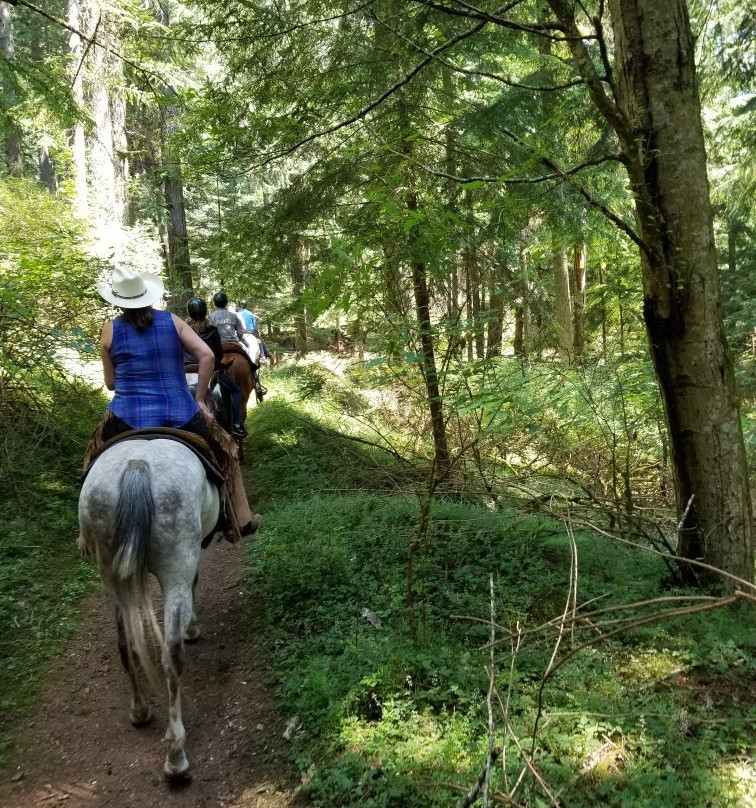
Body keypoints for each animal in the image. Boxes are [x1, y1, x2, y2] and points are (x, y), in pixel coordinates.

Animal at [79, 438, 221, 780]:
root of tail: (137, 466)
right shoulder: (192, 557)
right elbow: (196, 582)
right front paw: (193, 628)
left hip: (109, 574)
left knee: (125, 643)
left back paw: (140, 710)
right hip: (177, 560)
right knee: (172, 652)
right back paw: (176, 754)